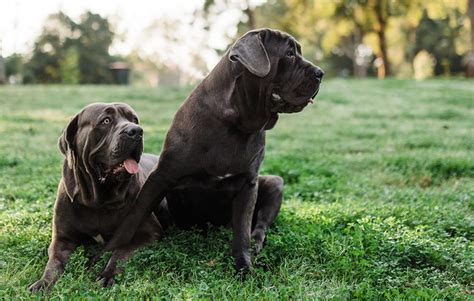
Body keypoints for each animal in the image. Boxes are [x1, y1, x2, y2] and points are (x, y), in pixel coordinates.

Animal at [30, 102, 163, 290]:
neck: (98, 200)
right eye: (106, 120)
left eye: (134, 119)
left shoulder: (149, 232)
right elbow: (54, 263)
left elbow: (121, 252)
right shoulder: (62, 239)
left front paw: (108, 274)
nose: (136, 131)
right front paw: (44, 282)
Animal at [99, 29, 322, 270]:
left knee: (260, 225)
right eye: (289, 53)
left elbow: (242, 232)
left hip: (274, 183)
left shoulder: (248, 183)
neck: (235, 121)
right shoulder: (160, 177)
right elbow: (132, 219)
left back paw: (257, 243)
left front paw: (244, 267)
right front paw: (106, 255)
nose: (321, 73)